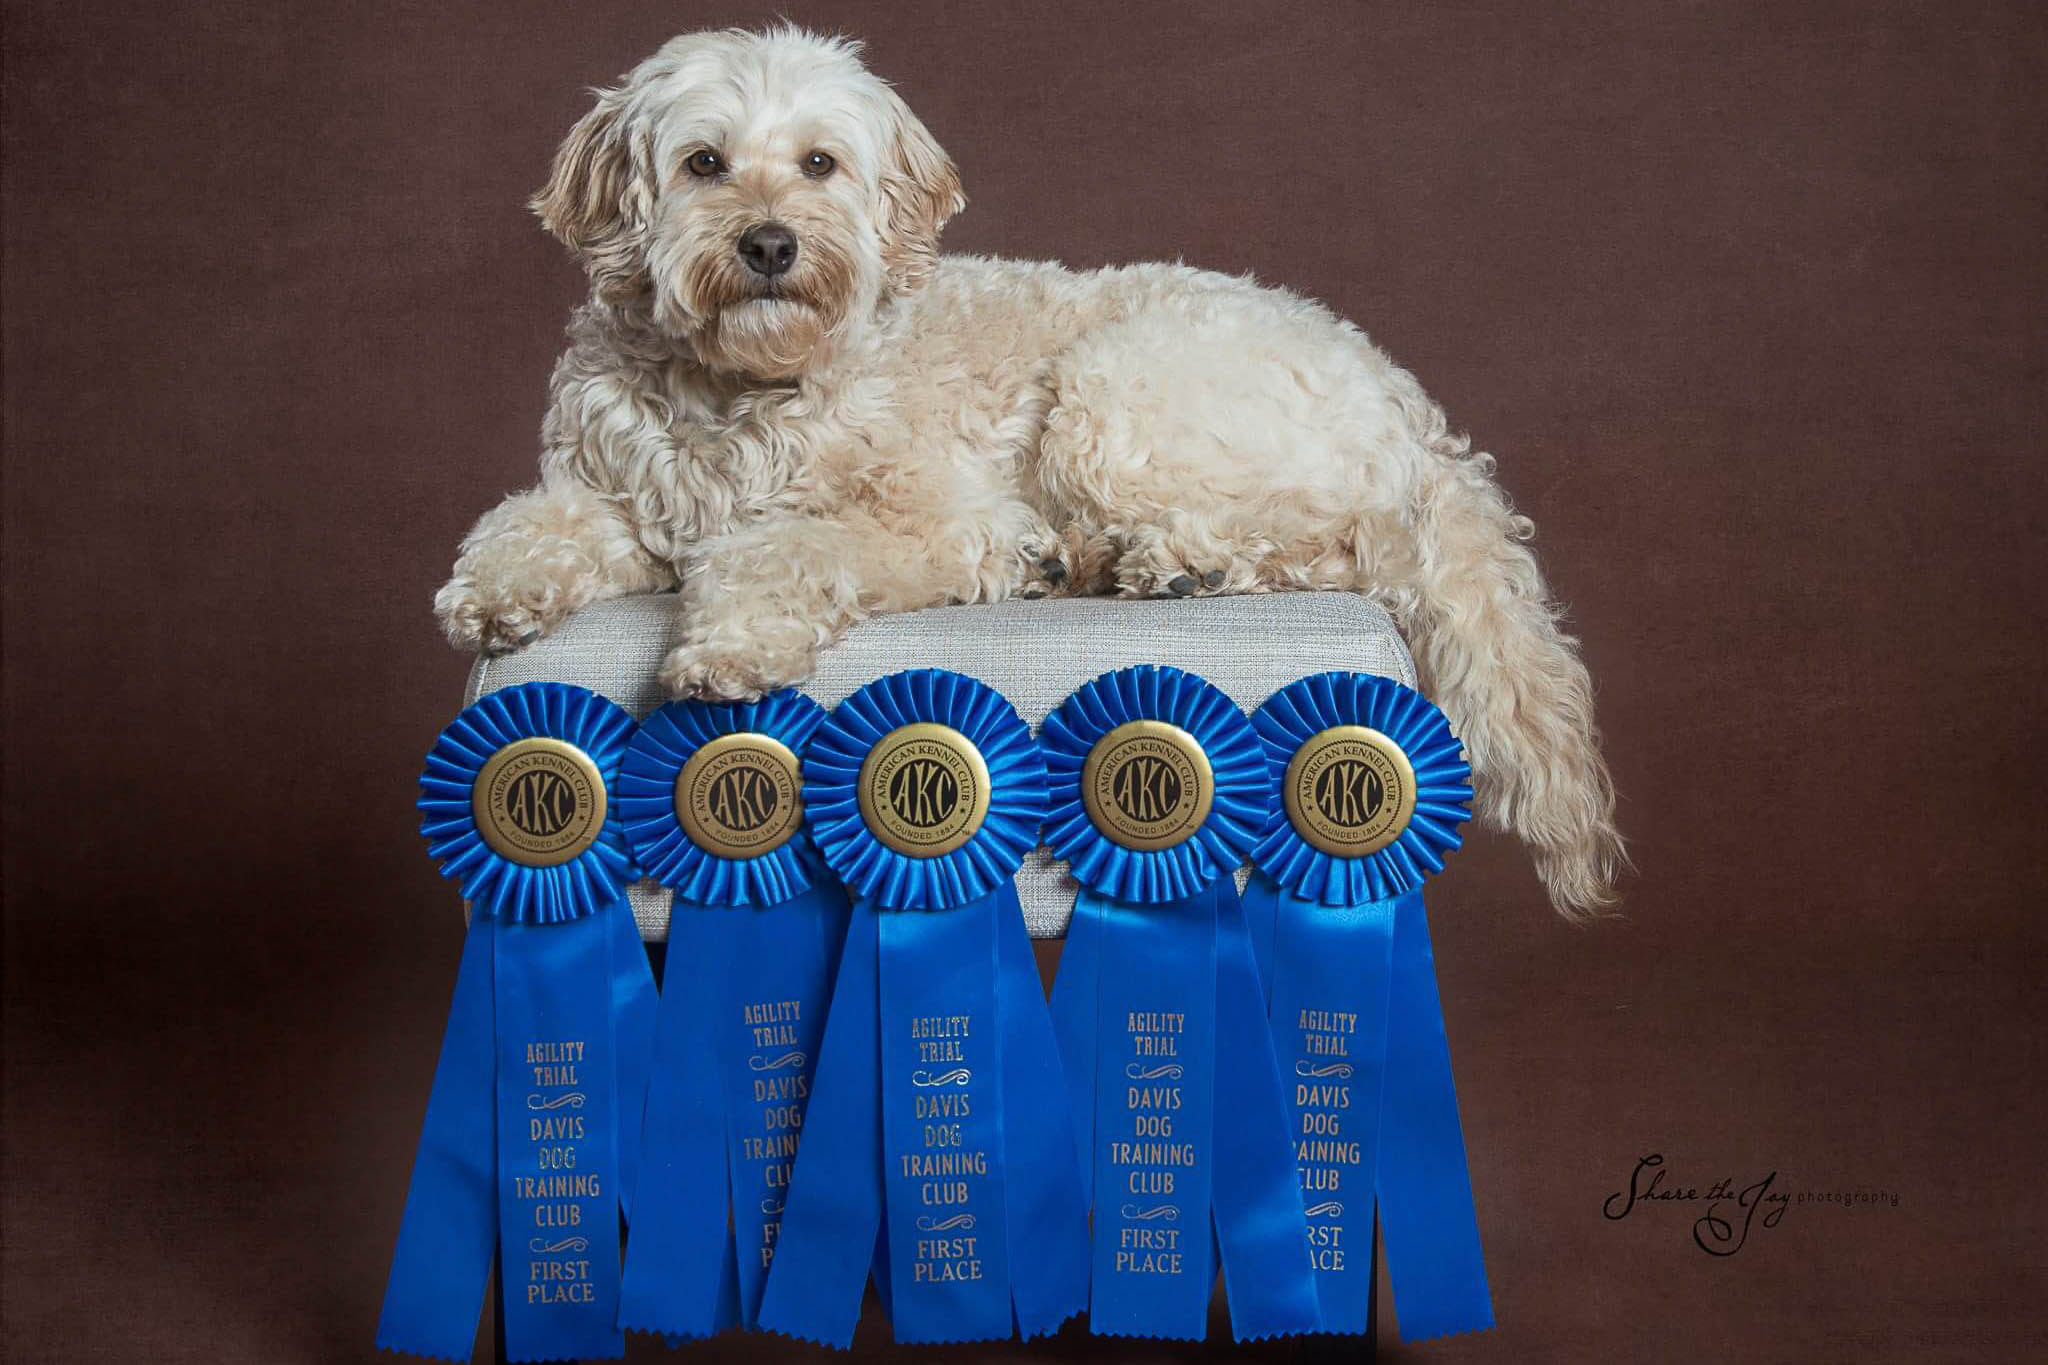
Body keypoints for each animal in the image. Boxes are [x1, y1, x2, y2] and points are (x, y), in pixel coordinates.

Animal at [434, 26, 1625, 915]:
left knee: (1345, 543)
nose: (770, 244)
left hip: (1115, 392)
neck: (744, 388)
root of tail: (1401, 397)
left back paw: (1166, 565)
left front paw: (725, 645)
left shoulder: (945, 523)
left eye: (819, 162)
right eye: (703, 164)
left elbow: (788, 546)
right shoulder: (623, 495)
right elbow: (538, 521)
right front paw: (494, 590)